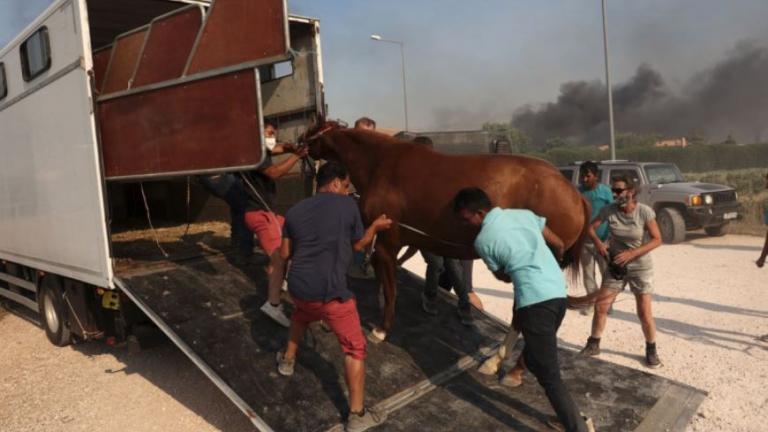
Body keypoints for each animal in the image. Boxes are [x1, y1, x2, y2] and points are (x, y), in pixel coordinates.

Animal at [304, 120, 592, 340]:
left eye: (311, 131)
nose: (298, 143)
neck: (380, 163)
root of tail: (575, 194)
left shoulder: (387, 243)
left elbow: (391, 289)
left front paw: (382, 329)